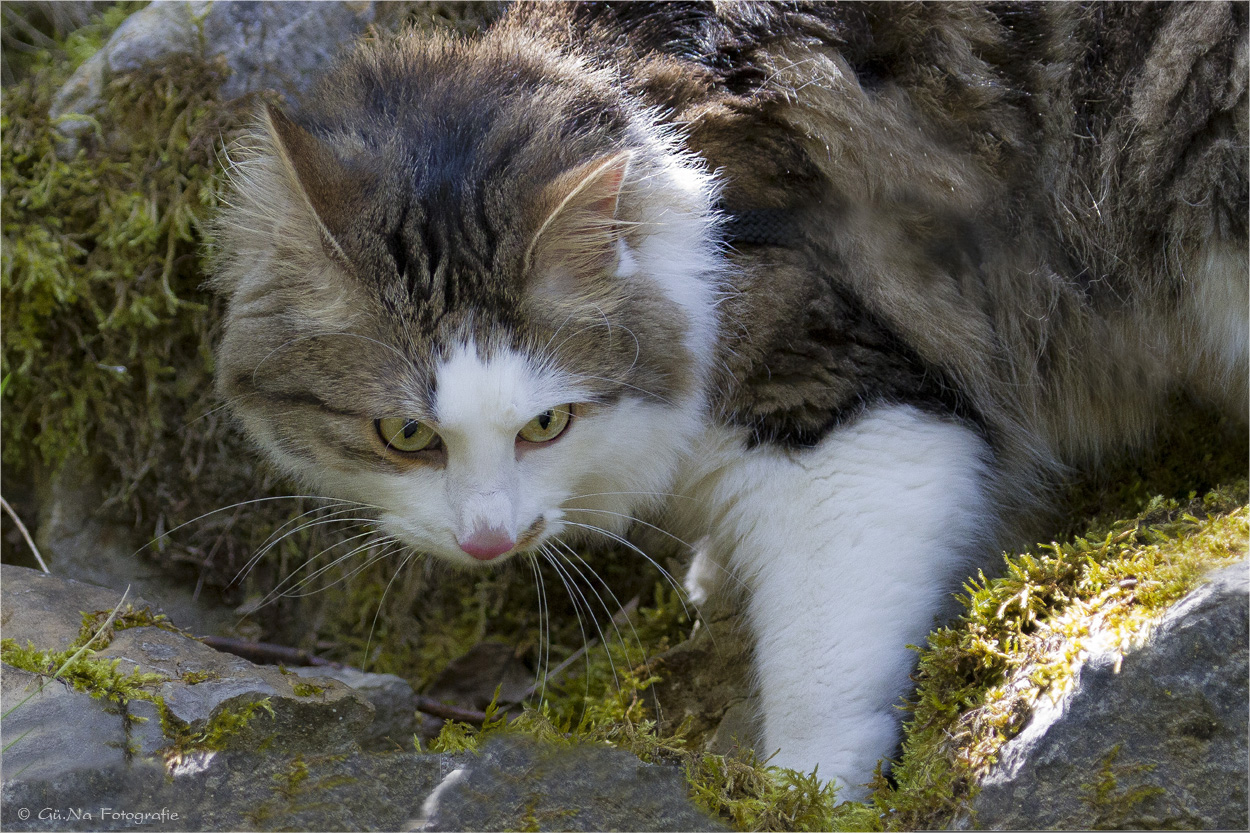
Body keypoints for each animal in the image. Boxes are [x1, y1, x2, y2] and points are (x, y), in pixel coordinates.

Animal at [210, 3, 1245, 800]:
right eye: (405, 433)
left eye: (546, 423)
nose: (489, 539)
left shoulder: (852, 410)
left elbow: (827, 656)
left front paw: (808, 793)